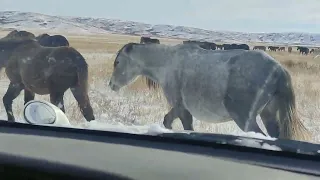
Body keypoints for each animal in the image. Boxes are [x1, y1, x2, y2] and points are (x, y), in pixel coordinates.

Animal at [109, 42, 312, 142]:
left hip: (245, 118)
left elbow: (184, 125)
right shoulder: (180, 107)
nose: (111, 84)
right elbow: (168, 120)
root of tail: (278, 69)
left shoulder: (180, 106)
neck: (168, 62)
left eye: (117, 62)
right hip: (269, 115)